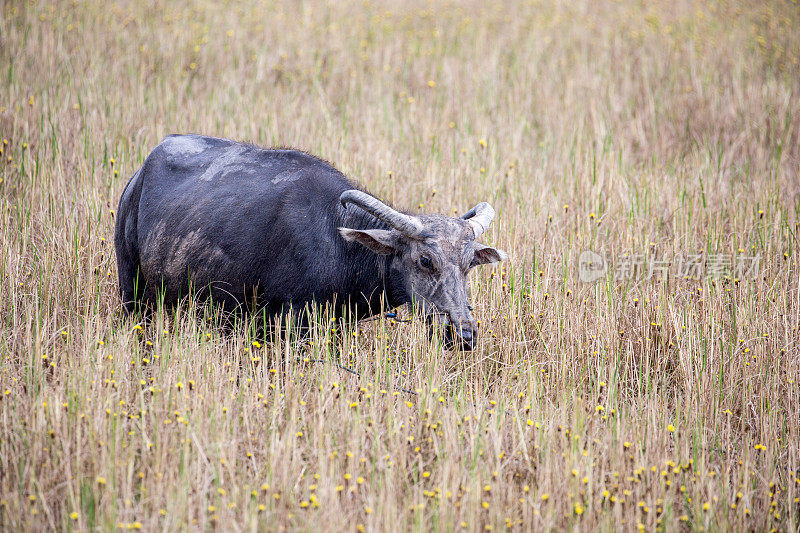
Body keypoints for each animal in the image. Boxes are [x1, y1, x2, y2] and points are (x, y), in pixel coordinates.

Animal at [117, 133, 506, 350]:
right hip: (133, 293)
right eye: (425, 260)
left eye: (469, 264)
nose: (464, 336)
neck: (338, 241)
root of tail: (137, 179)